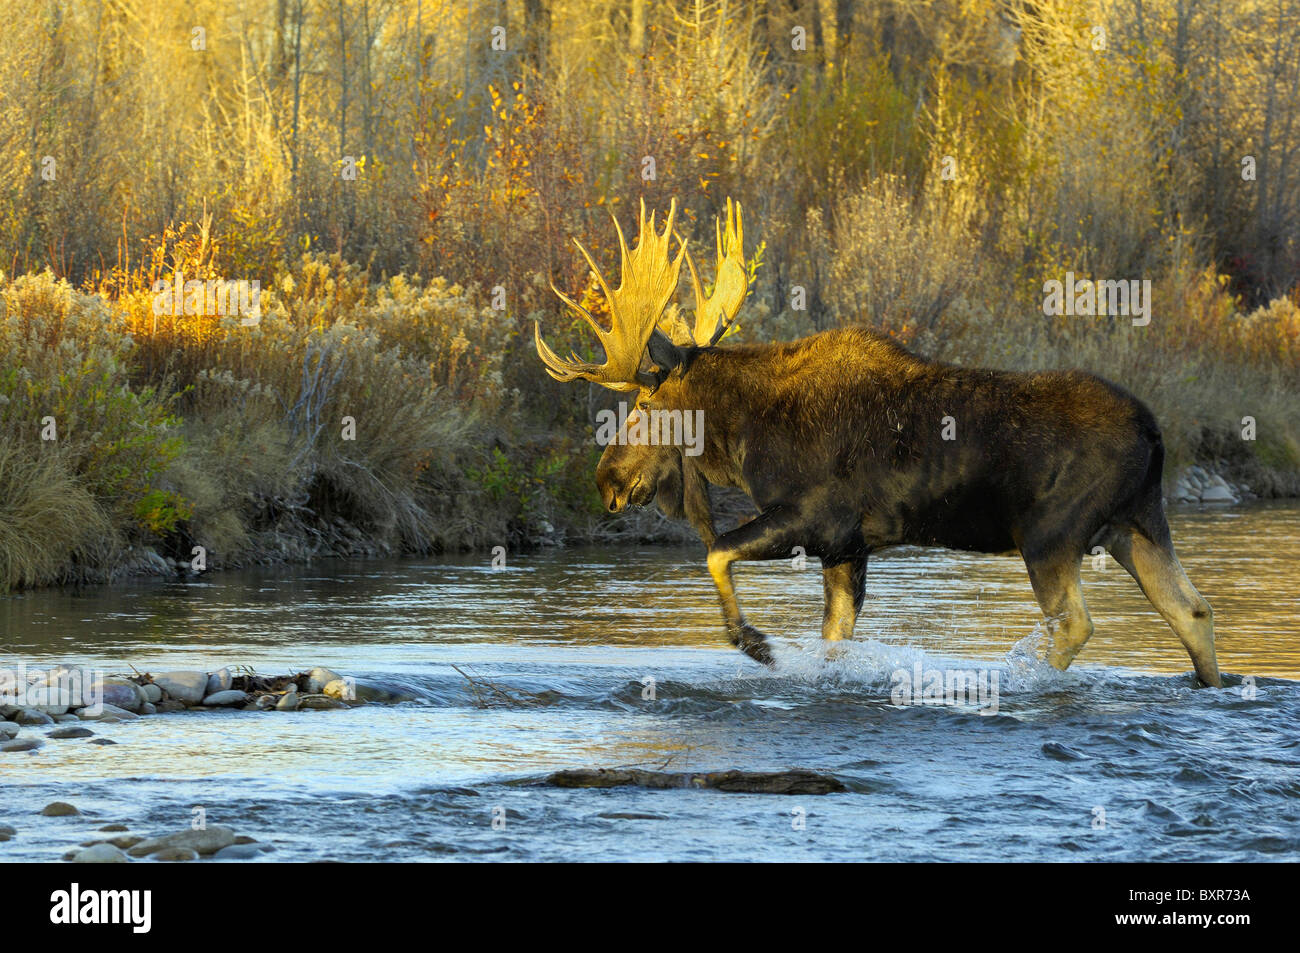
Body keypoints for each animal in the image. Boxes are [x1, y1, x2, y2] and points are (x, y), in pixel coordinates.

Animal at [533, 195, 1222, 686]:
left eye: (644, 406)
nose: (608, 481)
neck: (743, 433)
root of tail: (1155, 433)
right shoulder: (849, 547)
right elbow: (833, 641)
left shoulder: (816, 519)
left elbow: (716, 553)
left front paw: (756, 645)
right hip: (1137, 525)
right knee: (1192, 610)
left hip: (1053, 535)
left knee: (1076, 622)